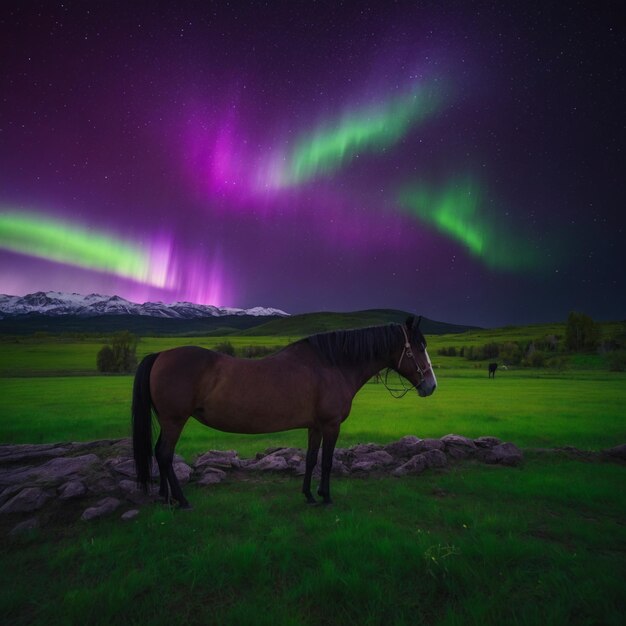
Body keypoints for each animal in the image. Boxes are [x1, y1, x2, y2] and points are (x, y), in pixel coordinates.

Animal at [132, 316, 434, 508]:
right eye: (419, 348)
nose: (431, 385)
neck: (331, 365)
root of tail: (161, 355)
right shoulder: (331, 425)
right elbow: (326, 462)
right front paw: (326, 497)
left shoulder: (315, 426)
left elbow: (311, 459)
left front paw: (310, 496)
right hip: (174, 421)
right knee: (164, 454)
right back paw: (182, 501)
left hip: (167, 421)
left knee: (159, 454)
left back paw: (165, 497)